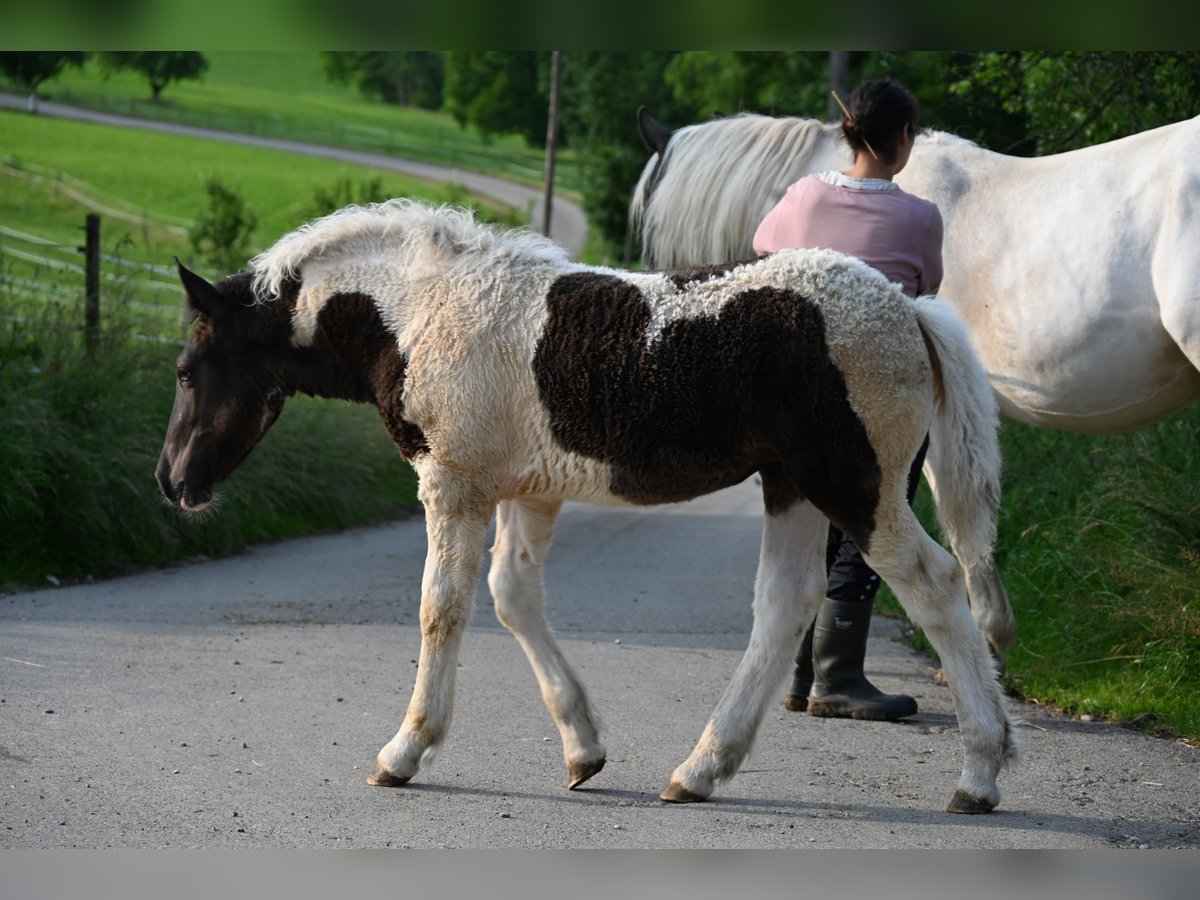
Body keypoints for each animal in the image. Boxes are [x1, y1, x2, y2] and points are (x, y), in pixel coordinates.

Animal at [155, 199, 1017, 814]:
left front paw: (405, 752)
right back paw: (699, 771)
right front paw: (583, 751)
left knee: (934, 584)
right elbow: (512, 597)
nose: (172, 482)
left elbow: (443, 609)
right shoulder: (526, 491)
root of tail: (909, 310)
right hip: (792, 486)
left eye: (189, 368)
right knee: (785, 605)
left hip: (854, 484)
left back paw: (980, 773)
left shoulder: (454, 484)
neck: (416, 309)